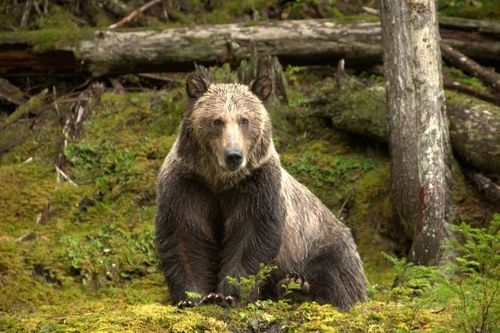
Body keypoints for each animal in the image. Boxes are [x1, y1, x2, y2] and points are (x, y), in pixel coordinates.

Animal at [155, 68, 368, 310]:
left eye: (244, 120)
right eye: (217, 120)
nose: (234, 155)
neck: (221, 181)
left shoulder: (257, 185)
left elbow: (251, 235)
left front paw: (229, 294)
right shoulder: (189, 185)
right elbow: (186, 235)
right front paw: (194, 296)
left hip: (320, 242)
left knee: (335, 278)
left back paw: (298, 288)